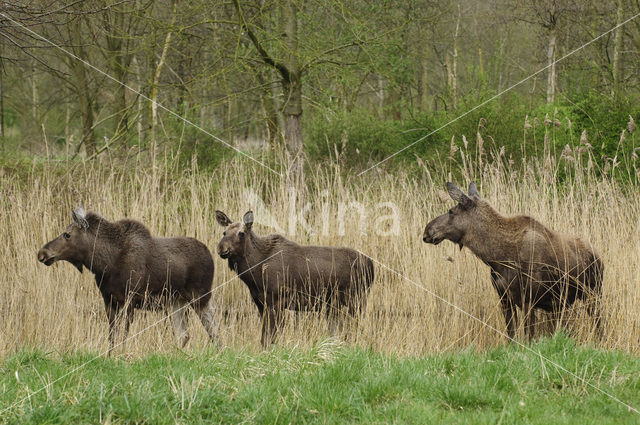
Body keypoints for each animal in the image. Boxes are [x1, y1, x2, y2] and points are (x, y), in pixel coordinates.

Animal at [37, 208, 218, 352]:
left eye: (67, 234)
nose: (42, 253)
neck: (104, 264)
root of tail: (211, 256)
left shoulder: (129, 299)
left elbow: (123, 335)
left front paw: (122, 355)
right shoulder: (109, 300)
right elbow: (112, 336)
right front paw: (110, 356)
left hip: (200, 296)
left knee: (212, 326)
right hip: (177, 301)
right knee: (184, 334)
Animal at [216, 210, 376, 348]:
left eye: (241, 233)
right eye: (224, 232)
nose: (222, 248)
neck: (255, 273)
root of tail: (371, 265)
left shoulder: (277, 301)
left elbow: (270, 338)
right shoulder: (261, 303)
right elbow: (264, 338)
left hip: (356, 300)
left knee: (360, 328)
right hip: (335, 305)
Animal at [422, 181, 604, 338]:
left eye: (451, 211)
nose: (427, 231)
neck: (496, 258)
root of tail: (597, 255)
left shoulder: (528, 300)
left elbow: (529, 336)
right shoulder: (504, 299)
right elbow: (511, 336)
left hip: (593, 294)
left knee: (599, 324)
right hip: (562, 304)